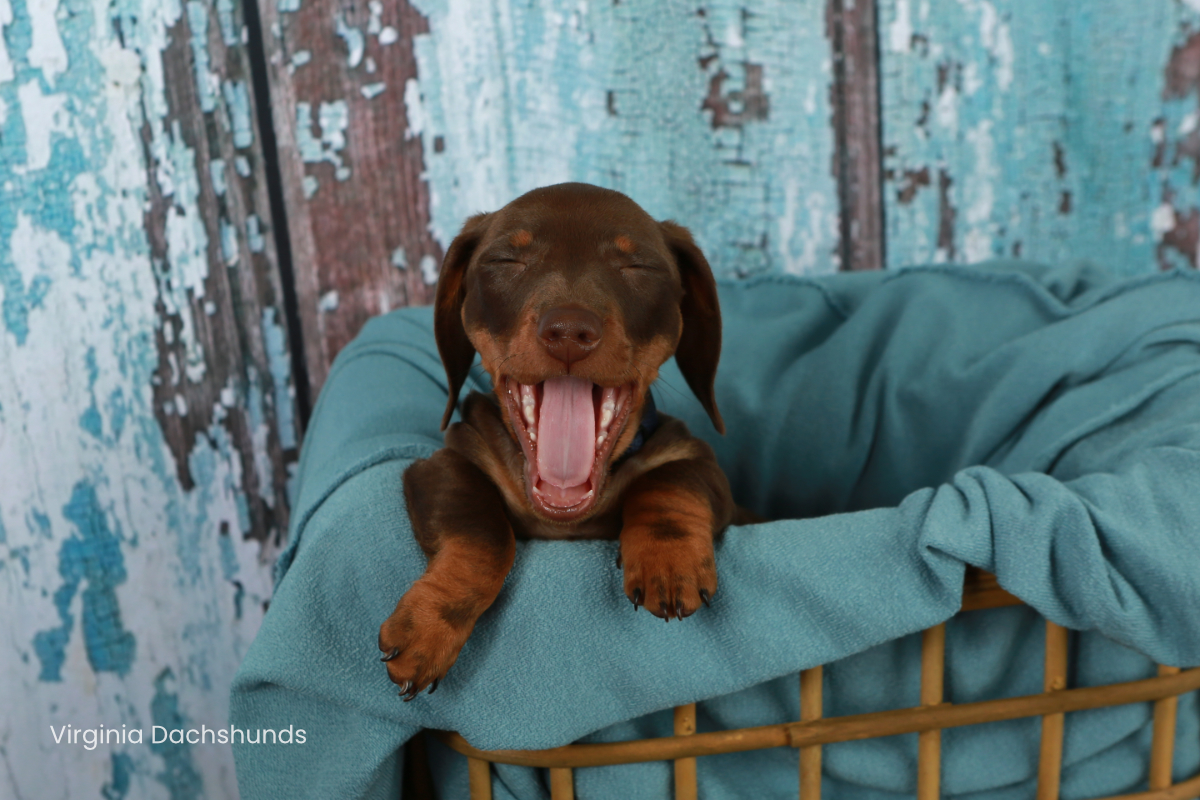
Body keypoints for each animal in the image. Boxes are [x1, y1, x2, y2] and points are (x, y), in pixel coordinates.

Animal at [381, 184, 739, 695]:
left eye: (638, 267)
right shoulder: (444, 464)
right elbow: (484, 531)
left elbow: (671, 480)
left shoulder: (704, 465)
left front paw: (668, 560)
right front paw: (429, 625)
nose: (569, 331)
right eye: (506, 260)